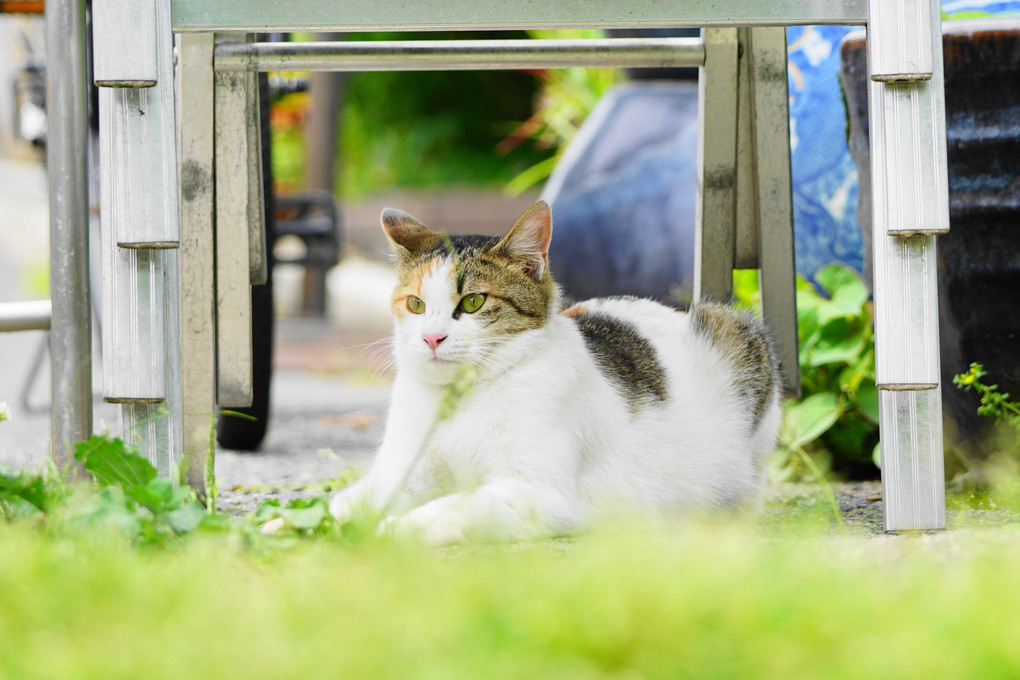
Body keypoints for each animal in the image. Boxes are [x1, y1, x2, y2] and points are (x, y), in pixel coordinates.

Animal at [328, 199, 779, 546]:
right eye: (416, 304)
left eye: (473, 302)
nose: (431, 338)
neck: (459, 400)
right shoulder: (403, 473)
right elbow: (355, 499)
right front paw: (328, 516)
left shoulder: (536, 494)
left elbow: (455, 506)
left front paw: (396, 529)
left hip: (736, 333)